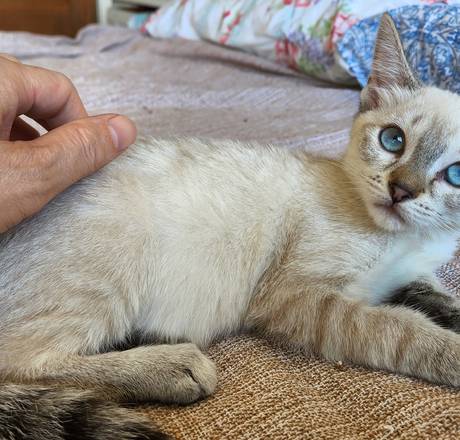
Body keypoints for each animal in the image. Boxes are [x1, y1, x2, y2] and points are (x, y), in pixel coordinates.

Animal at [1, 13, 460, 440]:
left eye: (454, 175)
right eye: (393, 140)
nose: (401, 190)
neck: (406, 240)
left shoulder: (408, 275)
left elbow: (435, 297)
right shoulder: (295, 296)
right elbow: (400, 329)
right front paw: (450, 352)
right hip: (110, 263)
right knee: (21, 365)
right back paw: (172, 366)